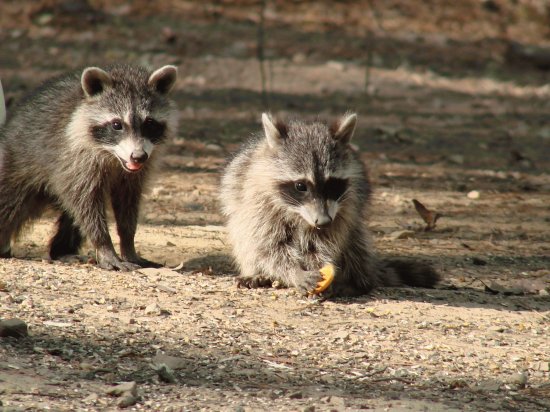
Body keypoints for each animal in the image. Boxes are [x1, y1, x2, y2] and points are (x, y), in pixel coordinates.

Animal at [0, 64, 178, 270]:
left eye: (149, 123)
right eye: (116, 124)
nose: (138, 157)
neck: (113, 157)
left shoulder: (136, 173)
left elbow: (127, 203)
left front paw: (128, 245)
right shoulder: (73, 157)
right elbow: (87, 205)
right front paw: (104, 246)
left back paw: (62, 250)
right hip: (18, 164)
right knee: (10, 202)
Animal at [222, 112, 442, 296]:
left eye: (333, 184)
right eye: (301, 186)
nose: (324, 221)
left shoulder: (345, 207)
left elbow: (326, 242)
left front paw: (321, 265)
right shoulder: (260, 201)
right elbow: (267, 245)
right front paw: (294, 271)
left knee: (355, 242)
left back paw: (357, 282)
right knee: (246, 239)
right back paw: (258, 273)